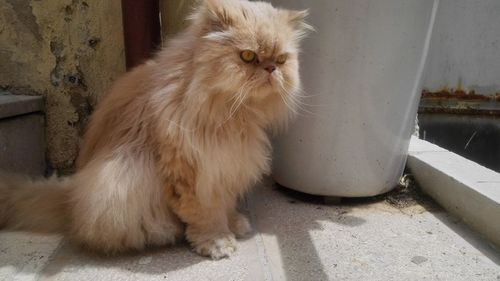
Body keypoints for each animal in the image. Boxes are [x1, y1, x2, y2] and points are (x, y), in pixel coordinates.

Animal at [0, 0, 310, 258]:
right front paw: (217, 241)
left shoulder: (229, 163)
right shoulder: (193, 168)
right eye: (247, 56)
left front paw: (233, 223)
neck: (233, 113)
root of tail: (70, 198)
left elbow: (225, 201)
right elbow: (206, 212)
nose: (270, 69)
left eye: (281, 60)